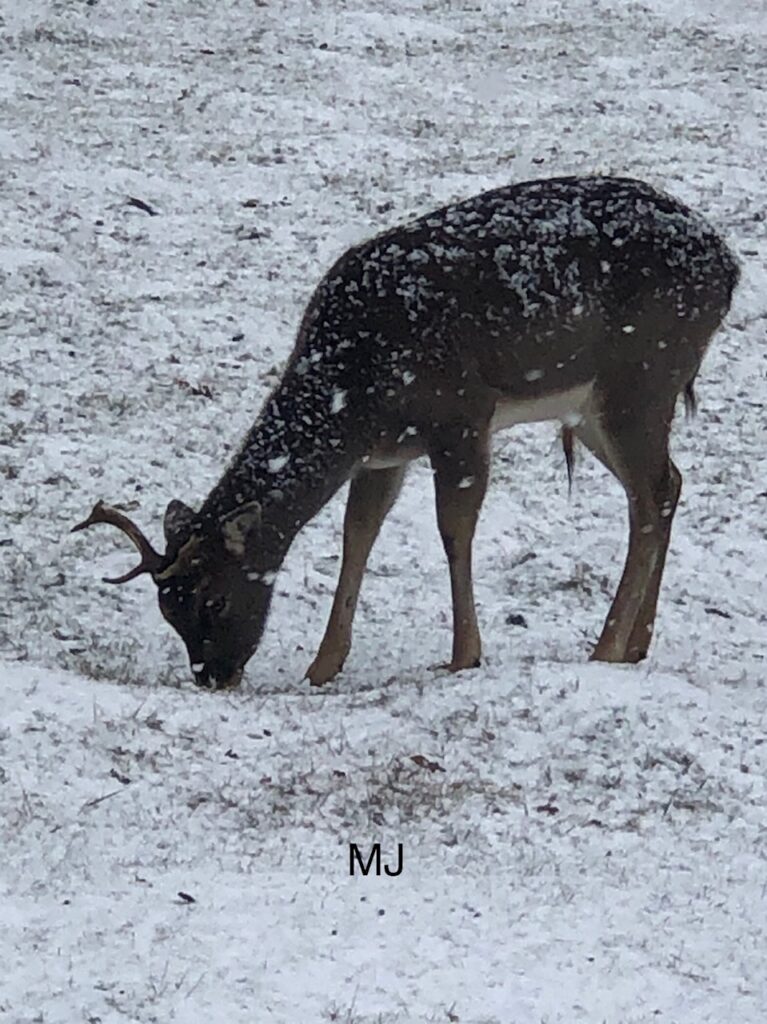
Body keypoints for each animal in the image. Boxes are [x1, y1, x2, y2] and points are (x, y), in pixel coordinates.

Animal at [72, 176, 739, 690]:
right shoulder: (383, 453)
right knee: (666, 486)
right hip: (598, 408)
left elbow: (453, 529)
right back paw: (637, 642)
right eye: (167, 609)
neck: (353, 390)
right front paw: (323, 666)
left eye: (212, 596)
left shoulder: (462, 416)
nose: (213, 675)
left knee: (650, 496)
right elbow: (358, 534)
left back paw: (606, 647)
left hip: (642, 377)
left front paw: (465, 656)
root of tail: (729, 265)